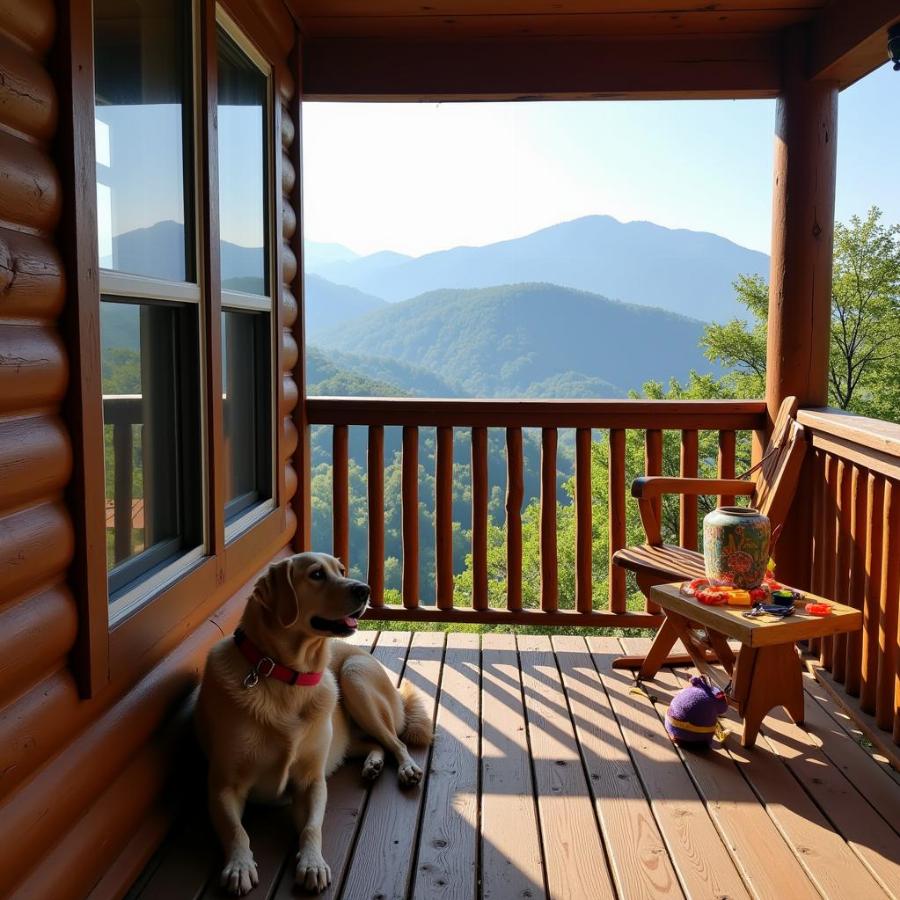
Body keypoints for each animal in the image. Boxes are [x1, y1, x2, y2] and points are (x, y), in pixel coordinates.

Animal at [195, 552, 434, 896]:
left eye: (342, 571)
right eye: (316, 574)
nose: (364, 589)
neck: (284, 675)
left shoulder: (312, 781)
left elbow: (311, 828)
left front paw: (313, 863)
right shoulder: (223, 787)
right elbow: (236, 831)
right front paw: (239, 865)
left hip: (354, 676)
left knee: (395, 740)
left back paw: (407, 768)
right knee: (374, 743)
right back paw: (373, 764)